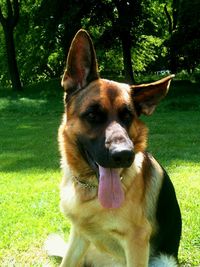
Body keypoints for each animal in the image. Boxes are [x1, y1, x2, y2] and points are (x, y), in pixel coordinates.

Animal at [45, 29, 181, 267]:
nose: (125, 155)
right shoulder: (79, 235)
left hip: (164, 260)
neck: (90, 190)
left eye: (128, 116)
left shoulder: (137, 242)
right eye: (92, 115)